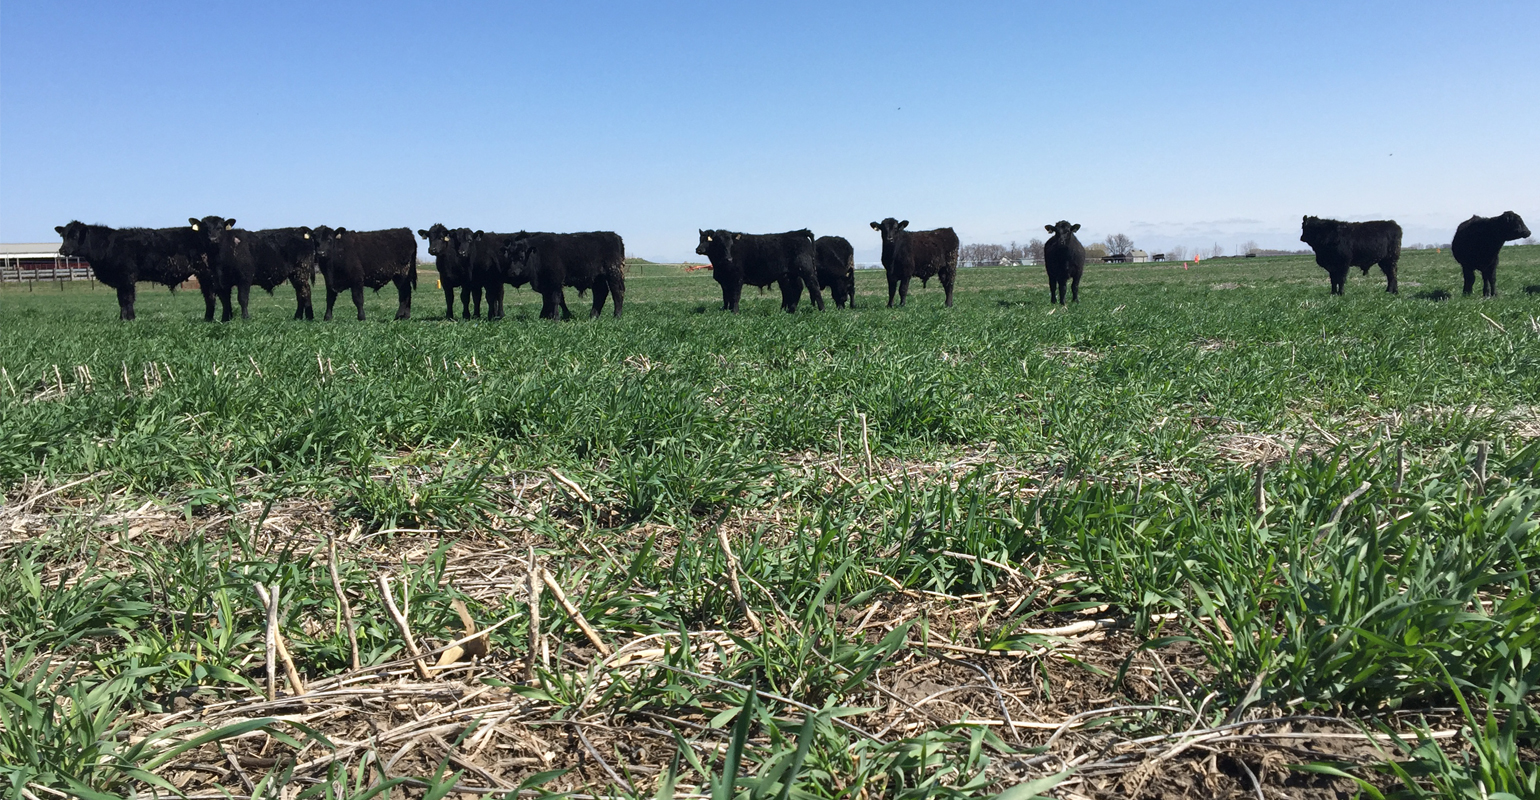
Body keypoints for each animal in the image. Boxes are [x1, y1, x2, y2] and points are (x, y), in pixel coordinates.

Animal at [54, 221, 209, 320]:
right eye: (63, 236)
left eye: (75, 236)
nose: (62, 250)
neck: (107, 245)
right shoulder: (120, 281)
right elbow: (121, 299)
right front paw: (122, 318)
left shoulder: (126, 278)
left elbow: (127, 299)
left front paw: (128, 318)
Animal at [695, 229, 823, 313]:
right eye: (701, 239)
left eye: (730, 243)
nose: (698, 249)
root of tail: (799, 232)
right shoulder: (724, 281)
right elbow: (726, 296)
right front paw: (726, 310)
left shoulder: (737, 278)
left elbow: (735, 295)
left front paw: (735, 311)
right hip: (791, 274)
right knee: (797, 289)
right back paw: (790, 311)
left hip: (806, 270)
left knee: (814, 287)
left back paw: (822, 310)